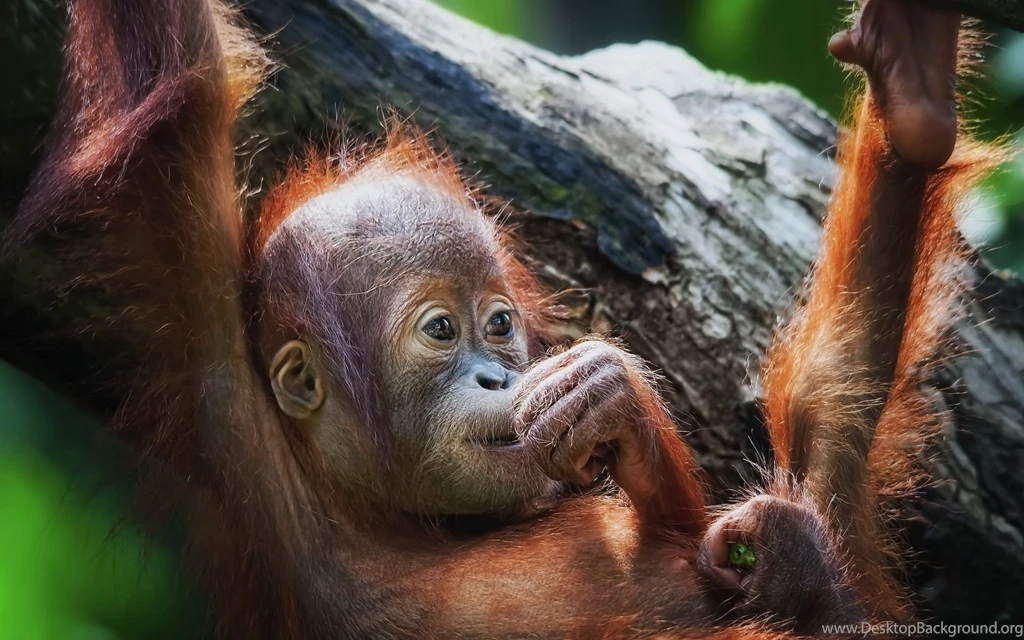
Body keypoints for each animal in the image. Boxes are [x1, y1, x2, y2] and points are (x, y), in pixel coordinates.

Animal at [3, 0, 1002, 637]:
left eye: (498, 326)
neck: (401, 523)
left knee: (833, 420)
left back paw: (912, 98)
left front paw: (609, 398)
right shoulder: (226, 409)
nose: (500, 375)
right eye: (441, 332)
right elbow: (176, 88)